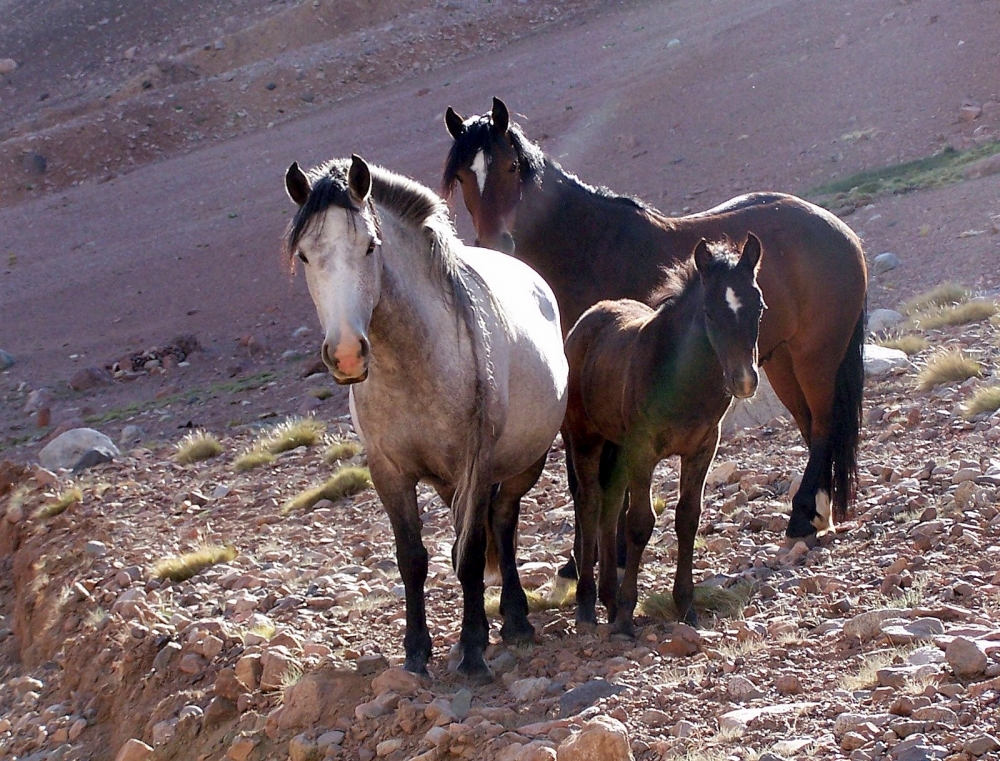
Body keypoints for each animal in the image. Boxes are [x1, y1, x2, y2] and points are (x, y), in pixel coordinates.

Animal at [286, 154, 568, 676]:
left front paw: (473, 649)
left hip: (523, 465)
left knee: (503, 524)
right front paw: (416, 650)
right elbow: (412, 558)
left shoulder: (474, 466)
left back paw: (516, 619)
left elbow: (471, 555)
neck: (414, 363)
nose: (347, 354)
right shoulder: (388, 471)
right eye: (305, 257)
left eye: (370, 246)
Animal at [444, 96, 868, 548]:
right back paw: (818, 512)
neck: (587, 249)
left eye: (511, 167)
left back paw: (804, 516)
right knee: (809, 424)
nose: (494, 243)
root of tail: (840, 230)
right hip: (781, 361)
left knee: (823, 424)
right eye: (463, 177)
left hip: (815, 356)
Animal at [564, 235, 764, 632]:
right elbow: (640, 523)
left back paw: (608, 598)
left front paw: (685, 606)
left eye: (760, 308)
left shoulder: (702, 448)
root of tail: (586, 321)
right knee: (590, 502)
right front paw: (627, 615)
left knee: (610, 503)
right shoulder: (643, 451)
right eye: (709, 313)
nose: (745, 381)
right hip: (585, 438)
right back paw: (588, 603)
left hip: (617, 446)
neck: (681, 379)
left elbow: (687, 518)